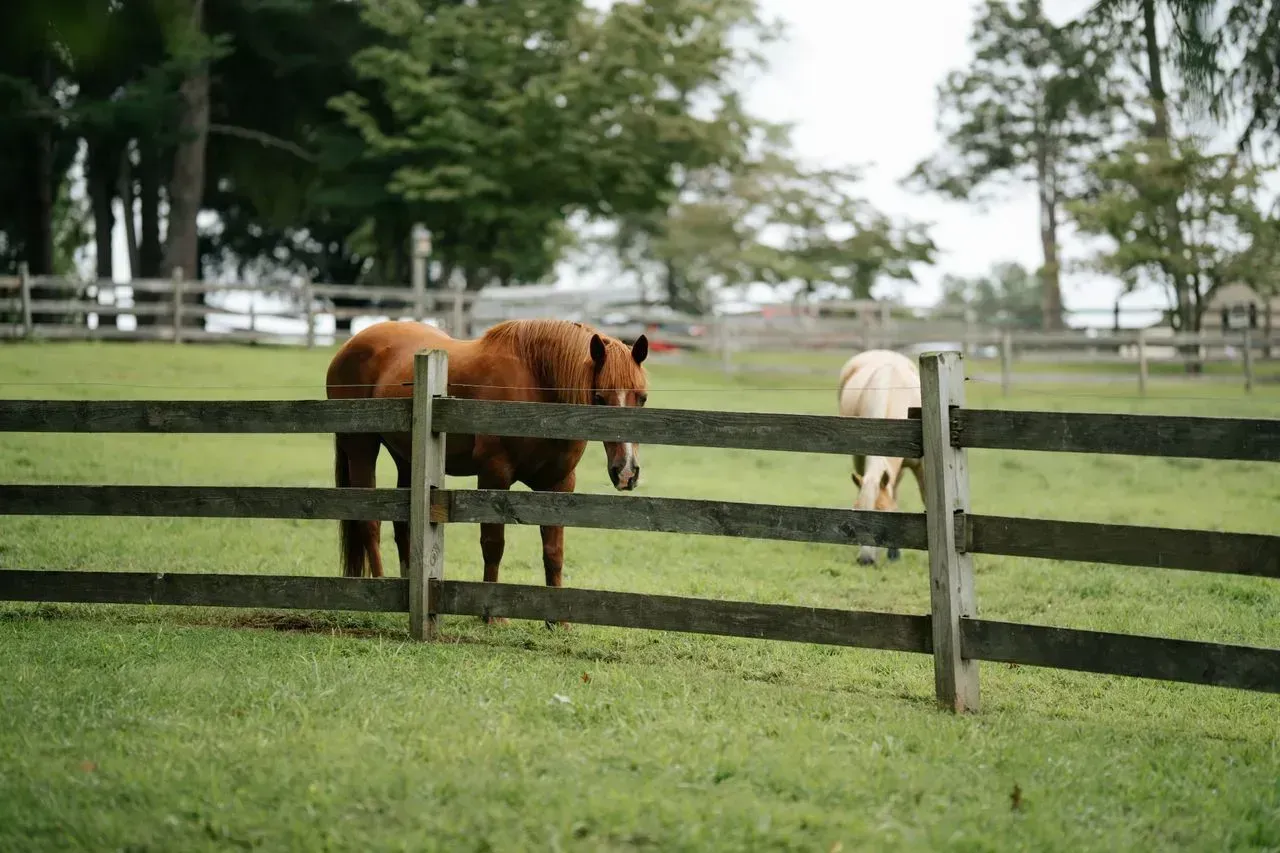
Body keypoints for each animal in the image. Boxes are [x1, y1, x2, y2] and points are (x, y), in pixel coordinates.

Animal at [325, 318, 650, 619]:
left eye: (642, 398)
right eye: (600, 398)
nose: (626, 471)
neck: (538, 386)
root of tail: (350, 345)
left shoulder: (559, 484)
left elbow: (554, 550)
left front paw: (558, 621)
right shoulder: (495, 476)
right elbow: (494, 544)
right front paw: (493, 615)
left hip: (406, 458)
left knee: (402, 526)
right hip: (362, 448)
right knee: (369, 523)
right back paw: (378, 588)